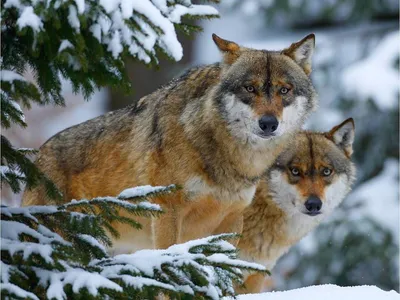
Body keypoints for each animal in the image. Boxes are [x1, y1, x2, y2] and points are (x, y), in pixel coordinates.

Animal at [21, 33, 318, 251]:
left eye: (284, 90)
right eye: (250, 88)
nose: (268, 123)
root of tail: (38, 156)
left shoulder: (232, 220)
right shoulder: (168, 211)